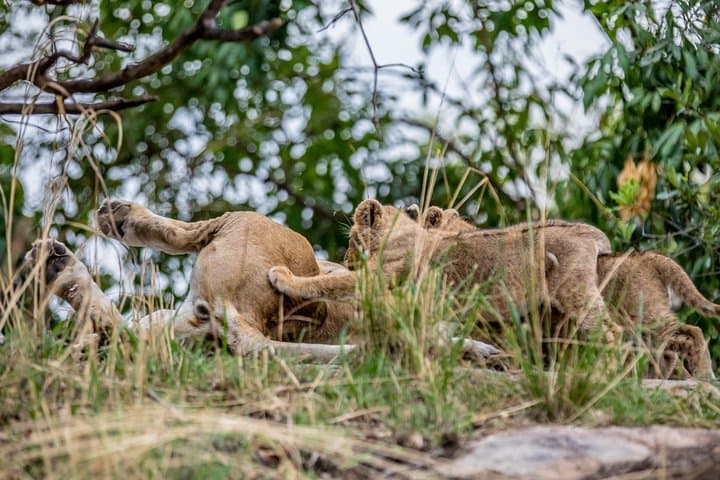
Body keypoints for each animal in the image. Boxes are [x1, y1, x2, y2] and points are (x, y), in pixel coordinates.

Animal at [268, 199, 616, 341]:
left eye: (352, 239)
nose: (346, 260)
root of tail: (587, 232)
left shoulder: (382, 279)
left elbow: (330, 285)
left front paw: (284, 277)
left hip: (575, 291)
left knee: (612, 330)